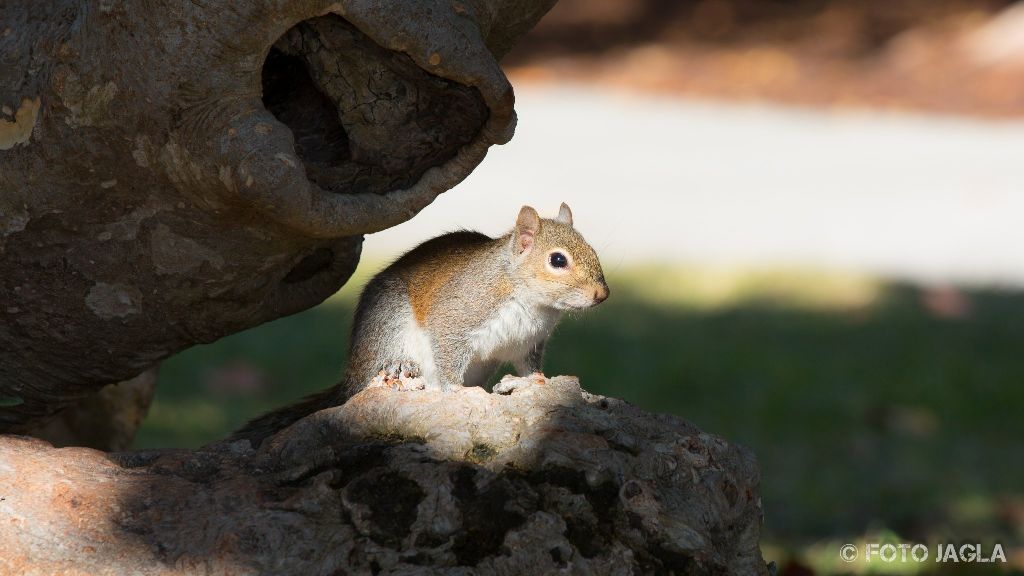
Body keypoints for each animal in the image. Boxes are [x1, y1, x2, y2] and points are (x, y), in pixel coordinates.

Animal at [234, 202, 606, 444]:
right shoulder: (456, 317)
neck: (531, 301)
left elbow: (529, 369)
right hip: (389, 327)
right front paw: (457, 391)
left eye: (592, 248)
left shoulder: (528, 342)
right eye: (557, 260)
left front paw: (538, 383)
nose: (603, 294)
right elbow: (447, 355)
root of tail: (351, 378)